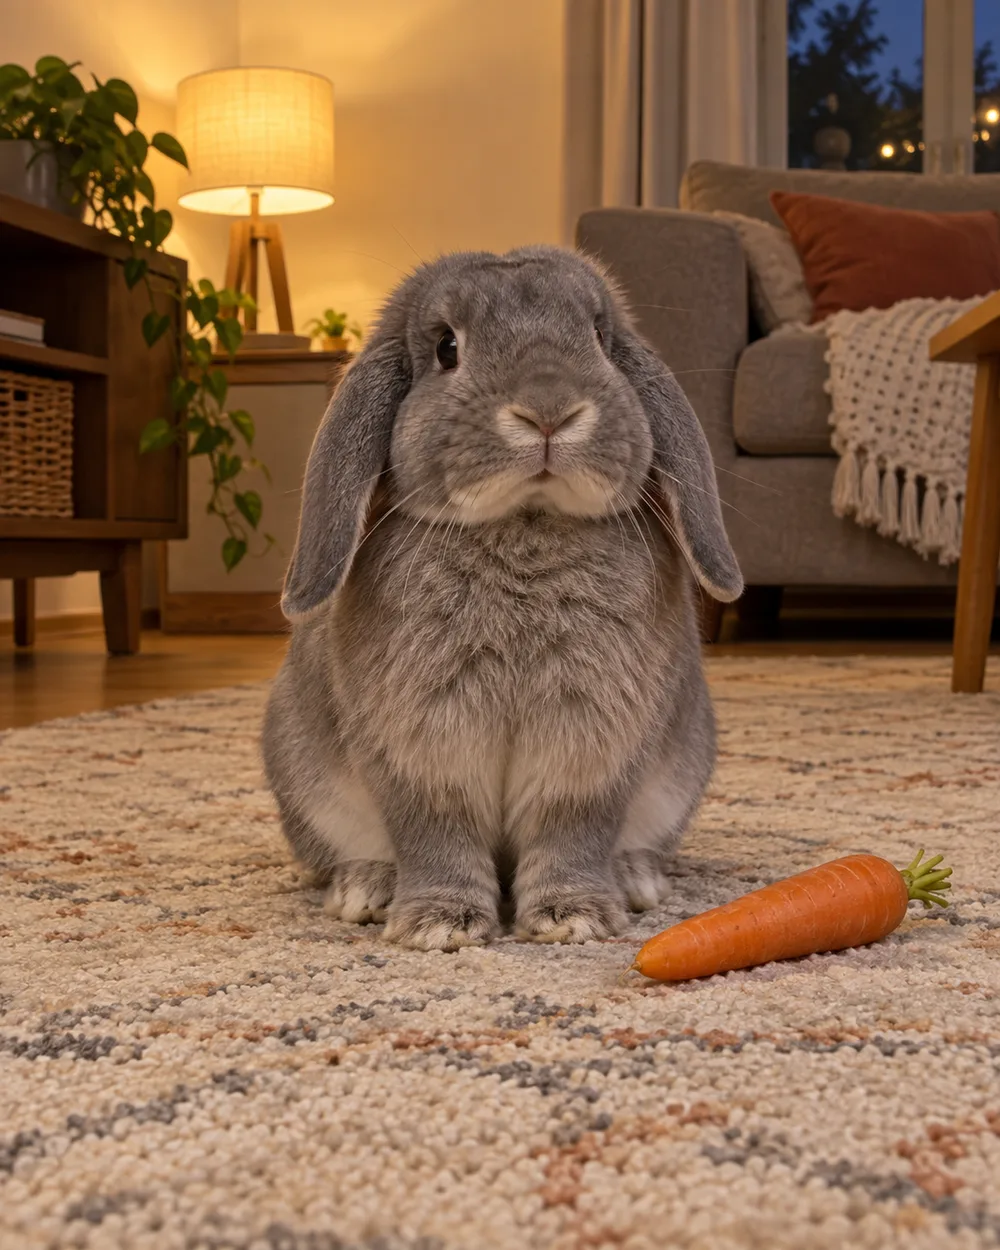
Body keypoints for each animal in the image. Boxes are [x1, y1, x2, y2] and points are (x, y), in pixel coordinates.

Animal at [262, 244, 742, 951]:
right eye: (446, 348)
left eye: (599, 339)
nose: (548, 410)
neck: (524, 523)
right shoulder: (423, 757)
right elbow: (437, 834)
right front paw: (441, 926)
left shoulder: (588, 755)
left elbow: (572, 831)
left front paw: (574, 919)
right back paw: (367, 889)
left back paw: (635, 879)